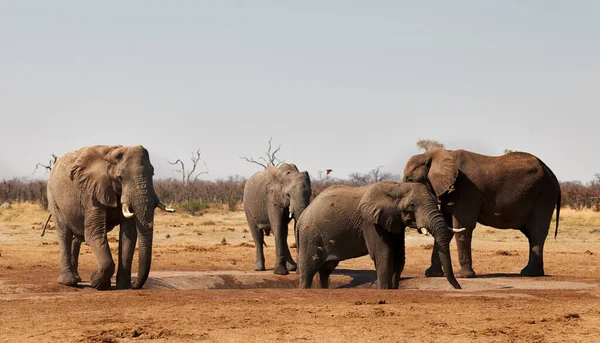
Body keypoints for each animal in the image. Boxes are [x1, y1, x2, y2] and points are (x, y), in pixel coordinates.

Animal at [47, 145, 175, 290]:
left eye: (152, 173)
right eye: (120, 177)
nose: (135, 285)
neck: (113, 152)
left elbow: (128, 234)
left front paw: (123, 285)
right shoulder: (92, 193)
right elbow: (94, 233)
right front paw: (96, 282)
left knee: (76, 236)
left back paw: (77, 278)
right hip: (53, 198)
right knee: (65, 234)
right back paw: (68, 282)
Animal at [298, 180, 462, 290]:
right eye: (412, 206)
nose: (459, 288)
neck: (397, 187)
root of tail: (302, 215)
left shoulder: (394, 221)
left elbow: (399, 257)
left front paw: (393, 289)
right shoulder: (370, 222)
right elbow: (384, 254)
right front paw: (384, 290)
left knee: (326, 269)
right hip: (310, 235)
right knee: (309, 269)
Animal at [404, 149, 564, 278]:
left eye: (410, 180)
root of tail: (554, 176)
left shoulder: (466, 188)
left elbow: (462, 226)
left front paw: (465, 276)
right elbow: (445, 227)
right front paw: (432, 274)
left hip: (543, 196)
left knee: (536, 232)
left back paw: (529, 273)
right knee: (532, 235)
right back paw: (534, 273)